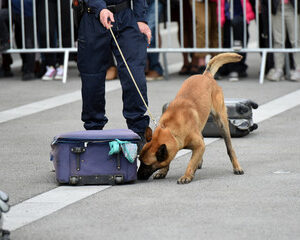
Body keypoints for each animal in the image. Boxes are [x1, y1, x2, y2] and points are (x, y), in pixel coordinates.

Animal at [138, 53, 244, 184]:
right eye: (139, 161)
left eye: (146, 165)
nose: (137, 176)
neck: (171, 130)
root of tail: (206, 76)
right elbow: (170, 159)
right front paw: (163, 171)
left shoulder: (199, 145)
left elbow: (191, 162)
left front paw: (187, 175)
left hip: (222, 123)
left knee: (230, 148)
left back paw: (236, 166)